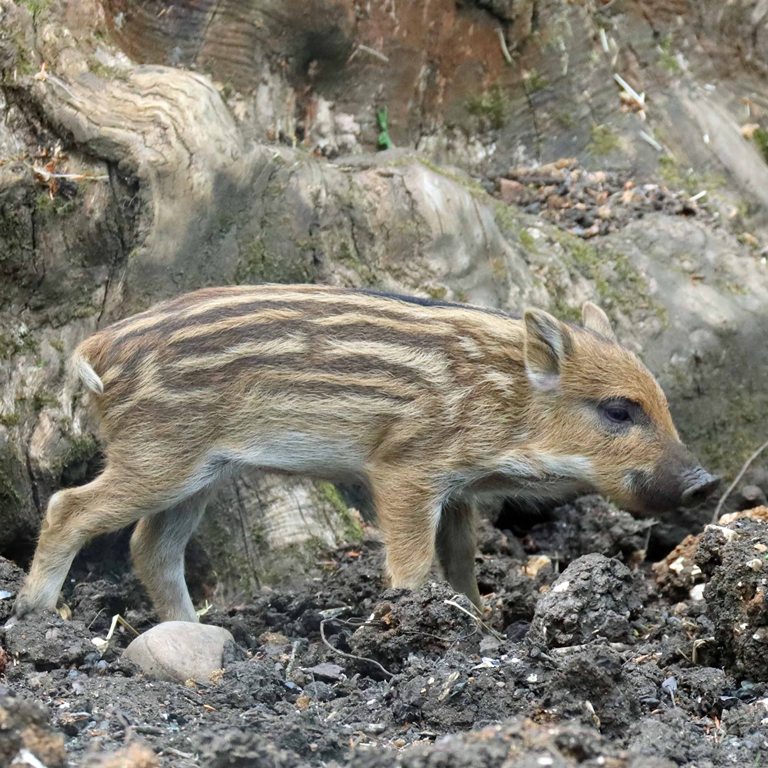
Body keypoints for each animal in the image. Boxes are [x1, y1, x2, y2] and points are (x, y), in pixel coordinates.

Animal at [14, 285, 719, 621]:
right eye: (618, 410)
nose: (705, 482)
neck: (508, 401)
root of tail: (96, 348)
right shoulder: (405, 468)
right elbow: (411, 559)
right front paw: (414, 619)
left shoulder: (457, 490)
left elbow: (462, 560)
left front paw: (480, 622)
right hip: (159, 455)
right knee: (68, 506)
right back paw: (37, 612)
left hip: (201, 472)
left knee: (151, 547)